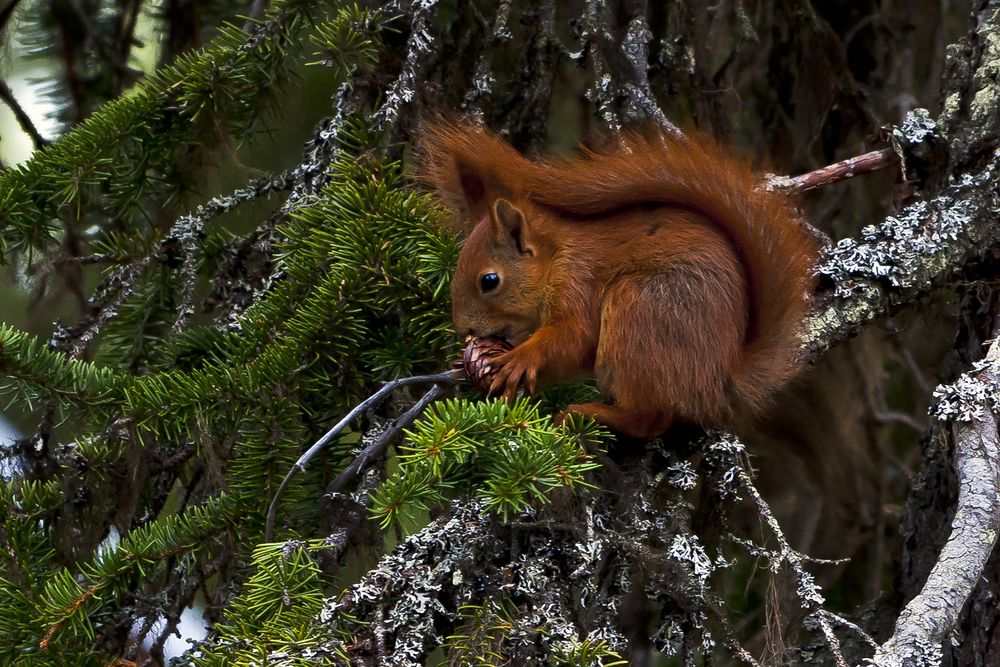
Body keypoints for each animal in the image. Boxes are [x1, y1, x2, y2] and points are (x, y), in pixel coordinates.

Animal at [418, 122, 816, 440]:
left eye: (490, 280)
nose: (464, 330)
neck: (557, 254)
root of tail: (719, 378)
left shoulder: (577, 281)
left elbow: (573, 336)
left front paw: (519, 358)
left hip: (638, 311)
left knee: (650, 420)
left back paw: (590, 413)